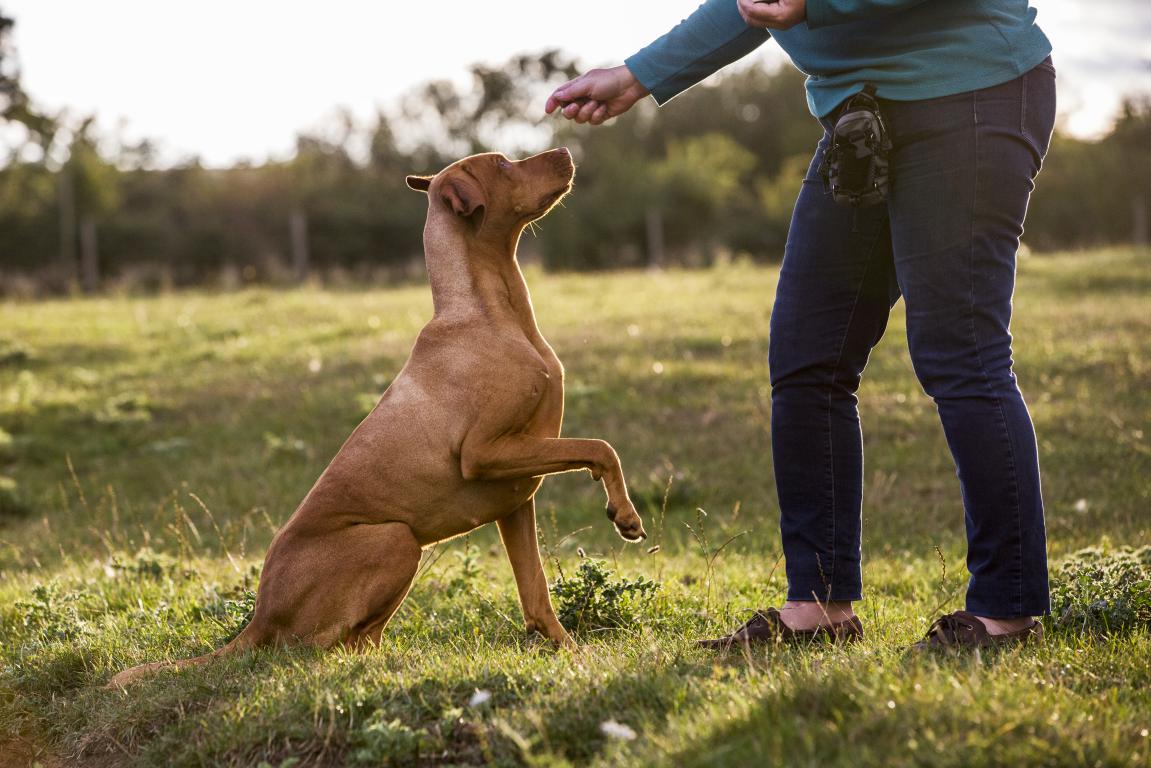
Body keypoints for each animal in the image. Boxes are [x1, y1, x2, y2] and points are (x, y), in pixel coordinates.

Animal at [108, 147, 644, 686]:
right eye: (502, 164)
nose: (566, 151)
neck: (489, 312)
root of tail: (259, 617)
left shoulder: (515, 497)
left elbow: (536, 594)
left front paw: (573, 655)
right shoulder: (484, 453)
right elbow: (601, 448)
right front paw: (624, 514)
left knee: (359, 641)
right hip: (396, 540)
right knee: (321, 650)